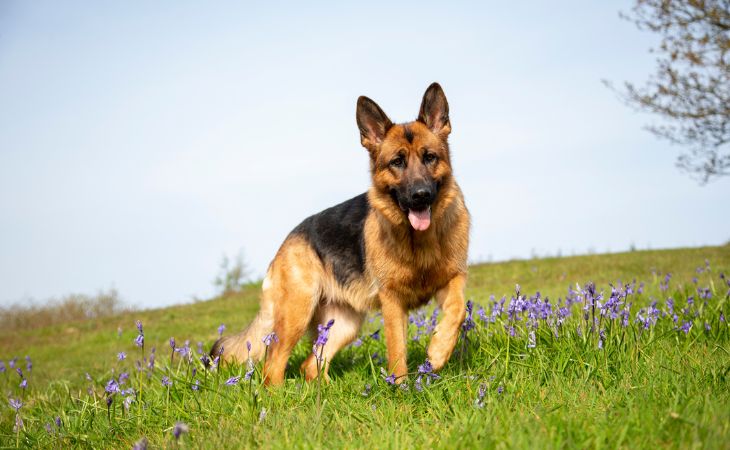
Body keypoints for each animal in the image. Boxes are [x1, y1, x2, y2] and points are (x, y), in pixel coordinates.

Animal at [210, 82, 470, 384]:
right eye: (397, 162)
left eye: (430, 158)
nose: (421, 195)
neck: (420, 240)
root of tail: (287, 241)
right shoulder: (393, 301)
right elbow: (397, 351)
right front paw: (402, 387)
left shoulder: (453, 279)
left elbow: (457, 311)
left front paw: (438, 351)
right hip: (297, 314)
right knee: (272, 364)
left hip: (344, 325)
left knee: (311, 365)